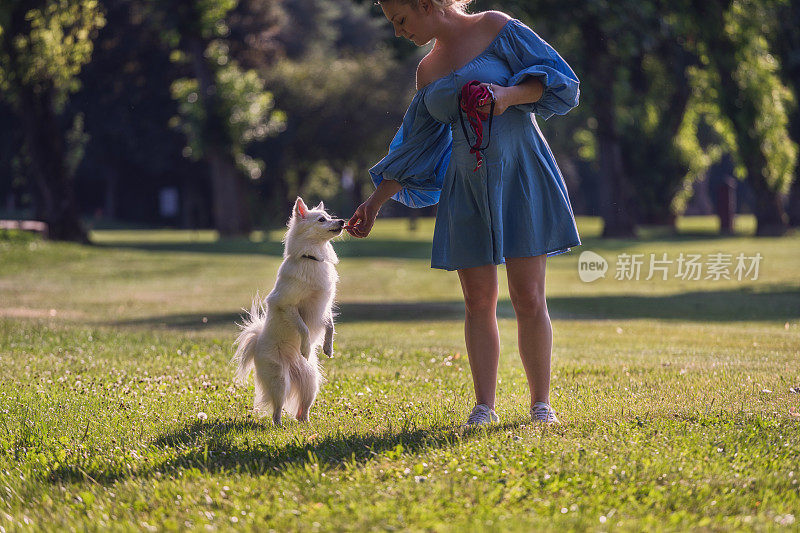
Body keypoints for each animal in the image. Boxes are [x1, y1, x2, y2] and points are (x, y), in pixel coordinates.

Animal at [231, 195, 344, 424]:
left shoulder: (325, 305)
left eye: (330, 217)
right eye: (321, 220)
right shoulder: (287, 305)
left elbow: (330, 325)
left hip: (311, 381)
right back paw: (279, 426)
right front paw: (306, 348)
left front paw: (328, 347)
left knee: (302, 409)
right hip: (279, 380)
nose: (343, 221)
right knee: (277, 409)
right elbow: (304, 328)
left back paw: (306, 423)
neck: (311, 258)